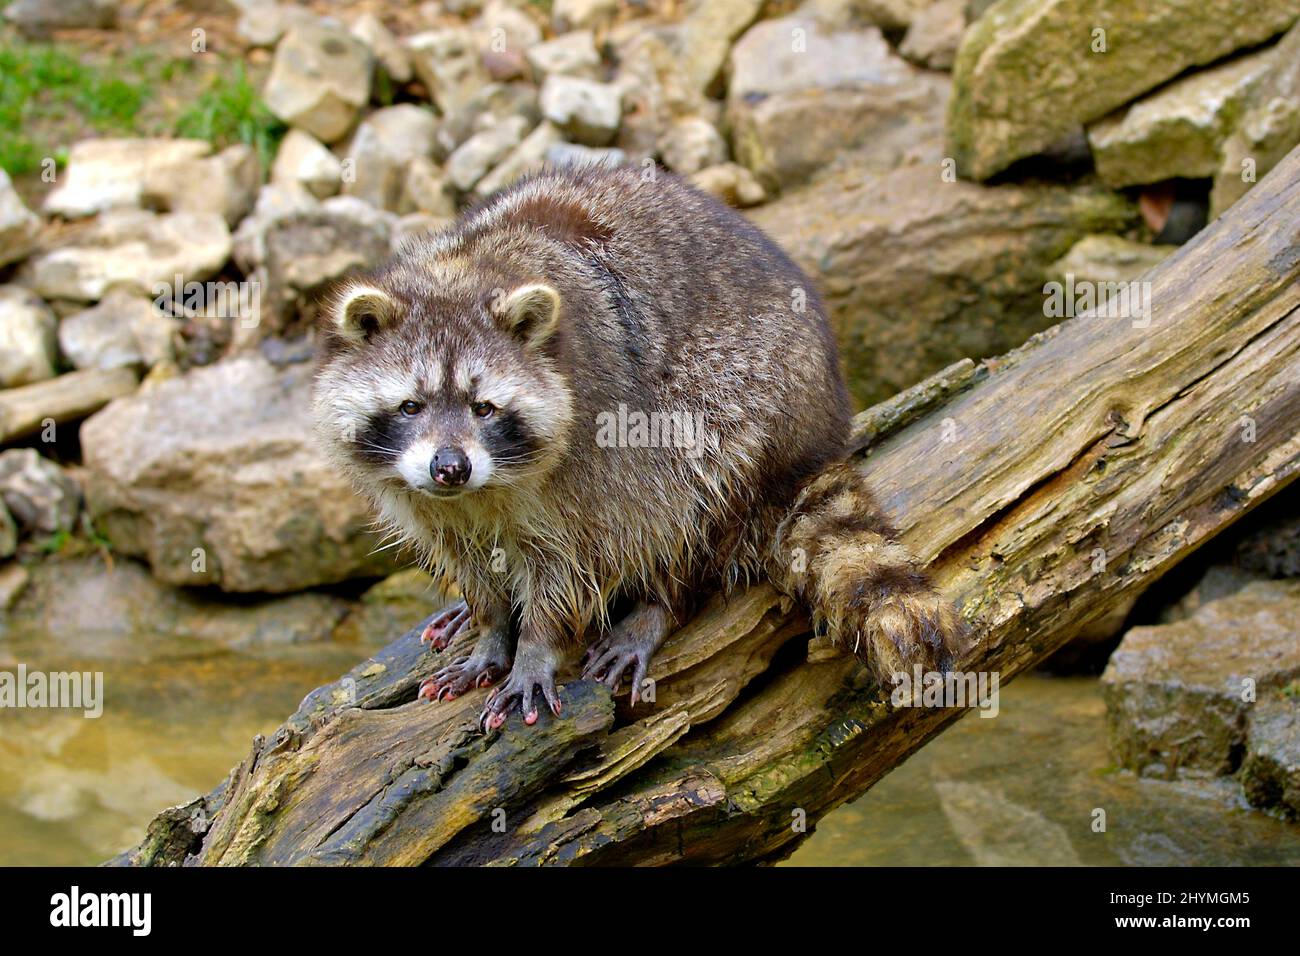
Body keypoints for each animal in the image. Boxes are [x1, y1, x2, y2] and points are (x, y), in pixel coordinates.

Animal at [312, 166, 965, 728]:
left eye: (484, 408)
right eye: (411, 406)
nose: (450, 467)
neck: (463, 271)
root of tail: (821, 423)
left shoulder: (592, 456)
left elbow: (576, 561)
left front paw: (536, 645)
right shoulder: (428, 501)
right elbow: (470, 562)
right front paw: (492, 629)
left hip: (747, 399)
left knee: (688, 489)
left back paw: (663, 599)